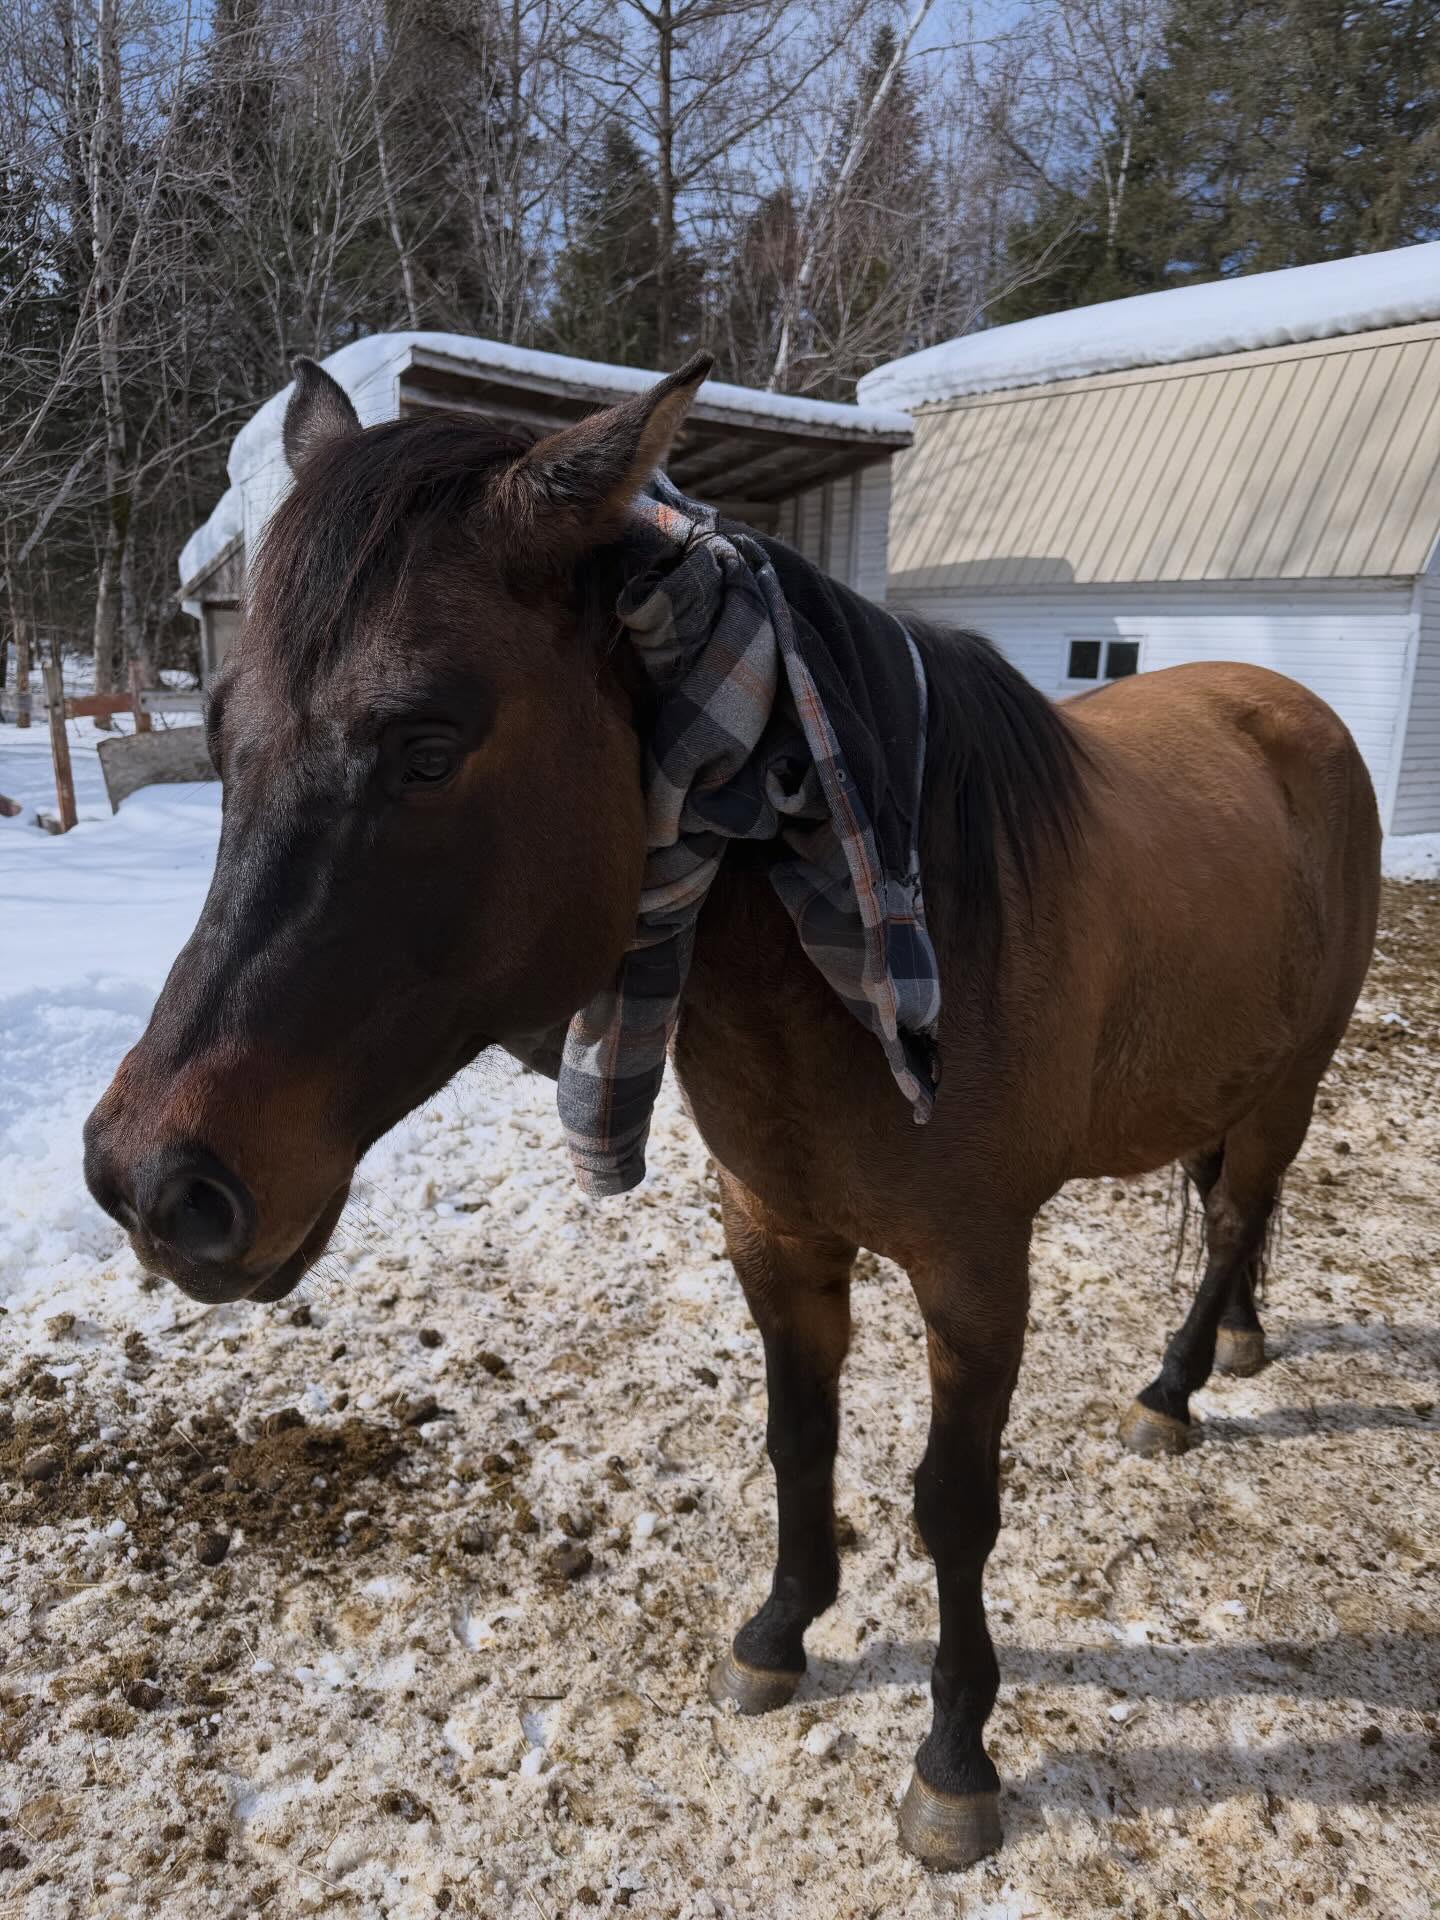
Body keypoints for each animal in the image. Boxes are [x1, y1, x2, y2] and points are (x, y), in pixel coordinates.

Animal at [84, 353, 1381, 1871]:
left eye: (428, 744)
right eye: (223, 736)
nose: (153, 1179)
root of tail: (1295, 710)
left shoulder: (976, 1270)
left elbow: (953, 1505)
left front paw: (955, 1758)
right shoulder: (776, 1235)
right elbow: (797, 1440)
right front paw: (778, 1634)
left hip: (1295, 1075)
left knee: (1237, 1213)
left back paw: (1173, 1389)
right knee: (1240, 1209)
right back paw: (1235, 1343)